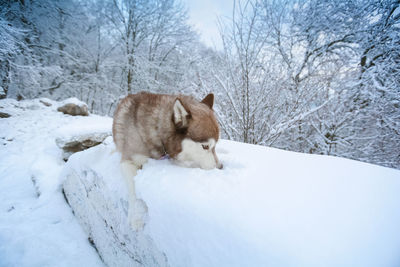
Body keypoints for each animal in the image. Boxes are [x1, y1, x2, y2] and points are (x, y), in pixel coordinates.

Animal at [113, 92, 222, 230]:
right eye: (205, 146)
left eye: (215, 145)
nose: (220, 167)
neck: (157, 131)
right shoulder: (128, 160)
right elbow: (133, 189)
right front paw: (136, 217)